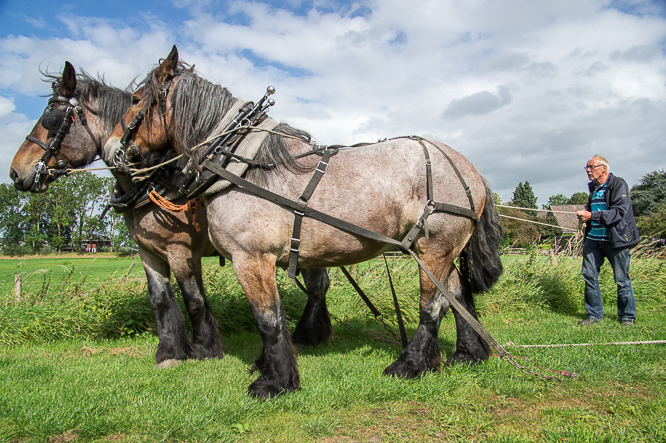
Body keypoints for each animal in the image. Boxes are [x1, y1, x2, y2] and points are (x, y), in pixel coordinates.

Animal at [7, 60, 332, 370]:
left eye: (51, 118)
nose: (15, 172)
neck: (159, 180)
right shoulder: (148, 252)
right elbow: (160, 300)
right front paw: (170, 351)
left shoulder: (181, 251)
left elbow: (194, 299)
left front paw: (203, 349)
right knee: (319, 285)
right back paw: (312, 333)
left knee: (317, 287)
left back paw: (305, 334)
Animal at [106, 46, 504, 400]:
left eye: (136, 99)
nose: (112, 150)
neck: (242, 167)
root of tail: (467, 167)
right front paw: (269, 368)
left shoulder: (251, 257)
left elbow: (267, 319)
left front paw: (274, 383)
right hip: (439, 250)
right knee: (457, 296)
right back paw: (467, 355)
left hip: (434, 249)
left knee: (432, 306)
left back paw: (410, 365)